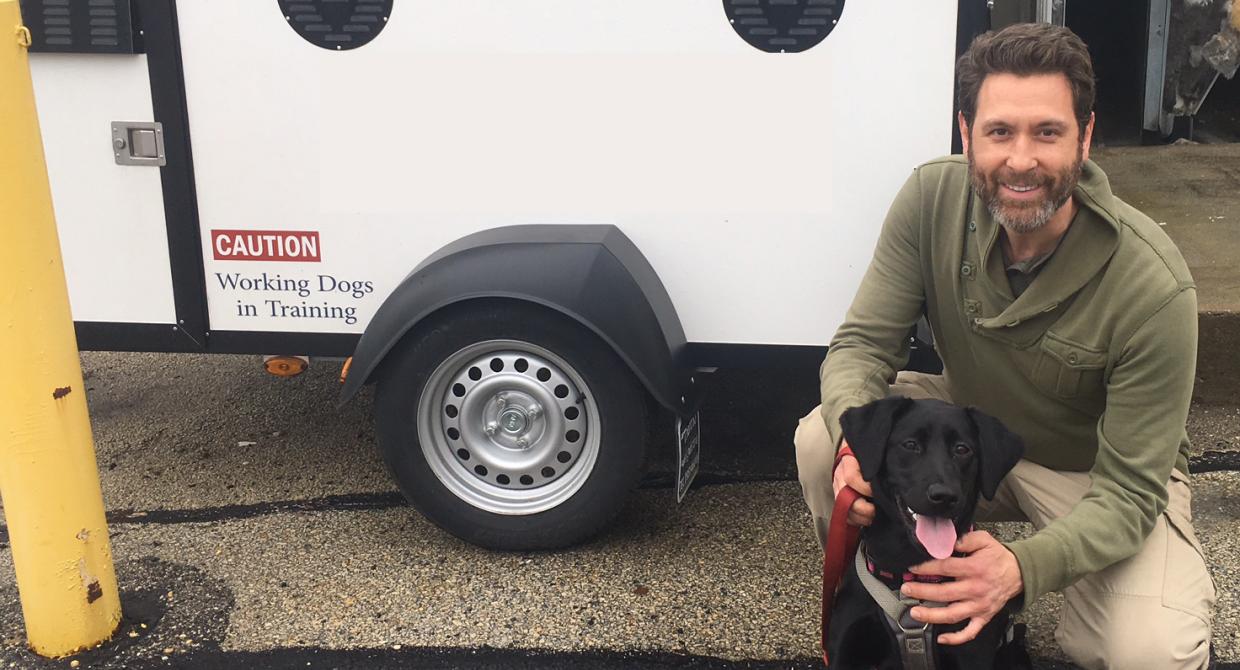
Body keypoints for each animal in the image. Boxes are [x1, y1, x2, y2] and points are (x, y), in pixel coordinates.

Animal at [828, 397, 1031, 670]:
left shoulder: (971, 653)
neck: (907, 569)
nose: (944, 496)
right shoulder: (845, 648)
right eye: (910, 445)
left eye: (962, 449)